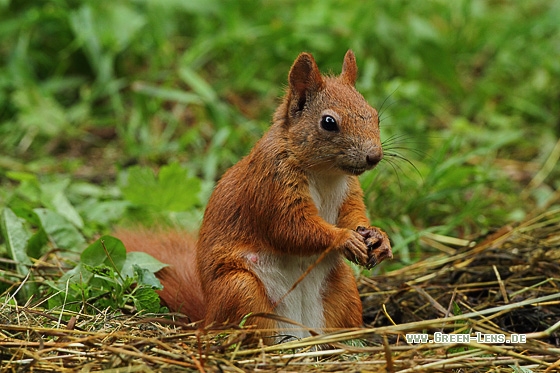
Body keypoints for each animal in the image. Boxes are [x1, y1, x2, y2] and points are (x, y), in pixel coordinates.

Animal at [117, 50, 392, 342]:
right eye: (328, 122)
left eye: (374, 115)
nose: (374, 156)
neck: (325, 174)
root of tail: (208, 316)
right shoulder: (270, 185)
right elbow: (291, 228)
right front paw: (344, 239)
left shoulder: (348, 192)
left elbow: (354, 214)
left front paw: (378, 237)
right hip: (241, 289)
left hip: (344, 288)